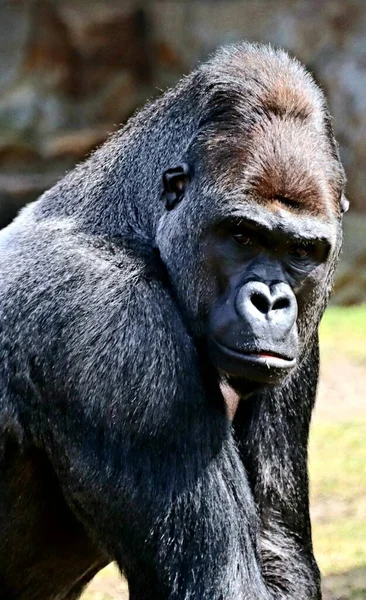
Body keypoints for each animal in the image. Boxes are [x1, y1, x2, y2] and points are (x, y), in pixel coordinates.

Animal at [0, 43, 346, 600]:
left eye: (300, 251)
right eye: (241, 235)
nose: (271, 301)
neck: (131, 221)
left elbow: (278, 549)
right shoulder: (117, 325)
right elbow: (222, 583)